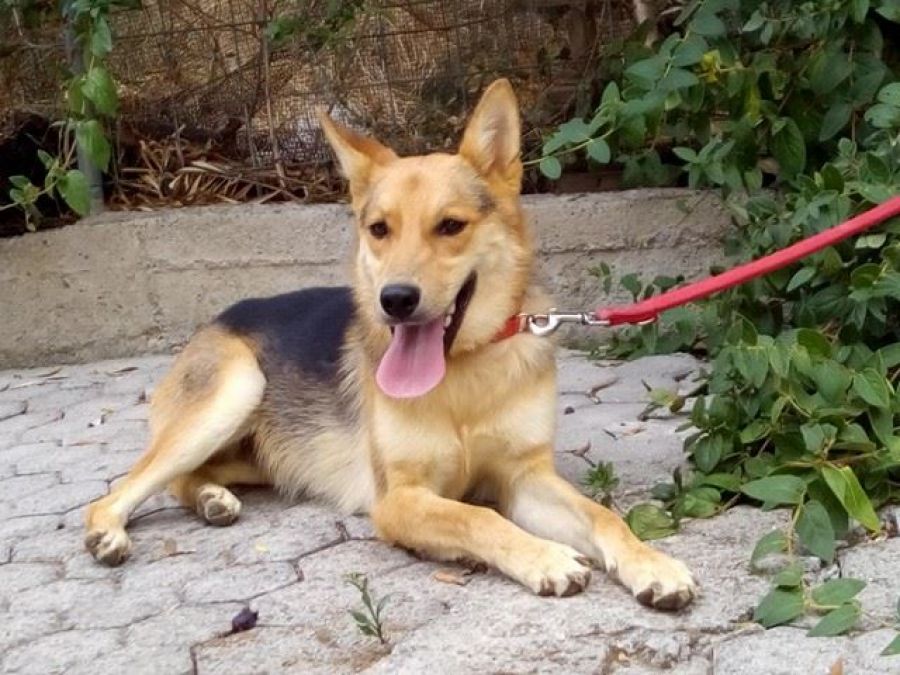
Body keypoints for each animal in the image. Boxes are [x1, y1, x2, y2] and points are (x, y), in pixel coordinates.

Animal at [84, 79, 696, 609]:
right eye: (379, 229)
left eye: (451, 226)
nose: (395, 299)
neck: (460, 373)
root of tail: (218, 320)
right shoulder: (399, 499)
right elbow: (478, 517)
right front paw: (545, 557)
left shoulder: (526, 479)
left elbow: (603, 516)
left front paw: (652, 563)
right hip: (236, 389)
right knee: (122, 489)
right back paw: (112, 529)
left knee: (183, 479)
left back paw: (211, 498)